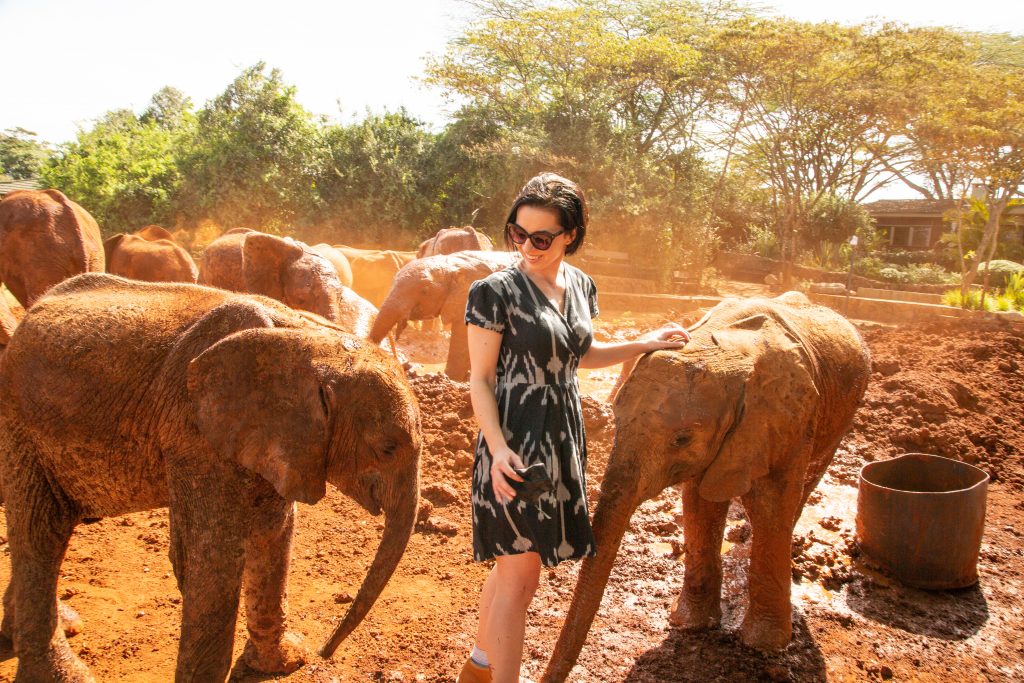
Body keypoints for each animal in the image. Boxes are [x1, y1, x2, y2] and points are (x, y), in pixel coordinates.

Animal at [0, 274, 421, 683]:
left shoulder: (271, 436)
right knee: (41, 535)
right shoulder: (193, 431)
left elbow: (273, 535)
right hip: (22, 428)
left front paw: (284, 664)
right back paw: (64, 674)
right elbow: (211, 558)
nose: (324, 652)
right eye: (387, 448)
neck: (312, 339)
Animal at [540, 290, 868, 679]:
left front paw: (764, 646)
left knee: (803, 486)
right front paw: (690, 624)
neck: (723, 349)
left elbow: (771, 506)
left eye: (681, 439)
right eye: (616, 420)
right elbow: (699, 503)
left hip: (841, 413)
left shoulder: (790, 419)